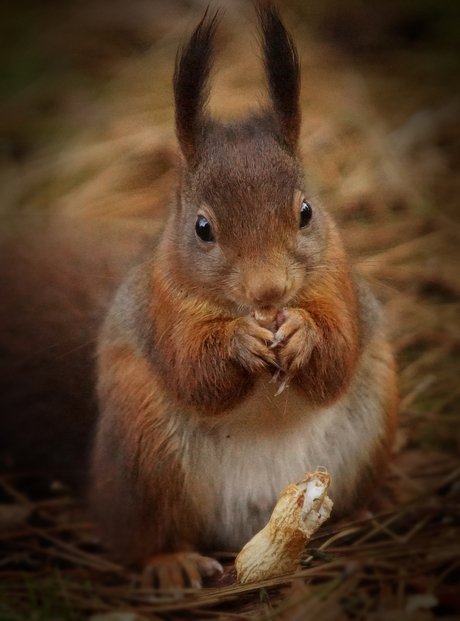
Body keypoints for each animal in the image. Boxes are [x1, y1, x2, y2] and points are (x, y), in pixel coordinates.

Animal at [0, 2, 396, 588]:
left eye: (305, 212)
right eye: (202, 228)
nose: (269, 289)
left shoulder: (341, 286)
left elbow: (338, 352)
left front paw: (302, 333)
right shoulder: (161, 306)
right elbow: (193, 369)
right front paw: (239, 343)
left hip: (372, 423)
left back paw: (363, 515)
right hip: (145, 456)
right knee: (137, 537)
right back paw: (171, 562)